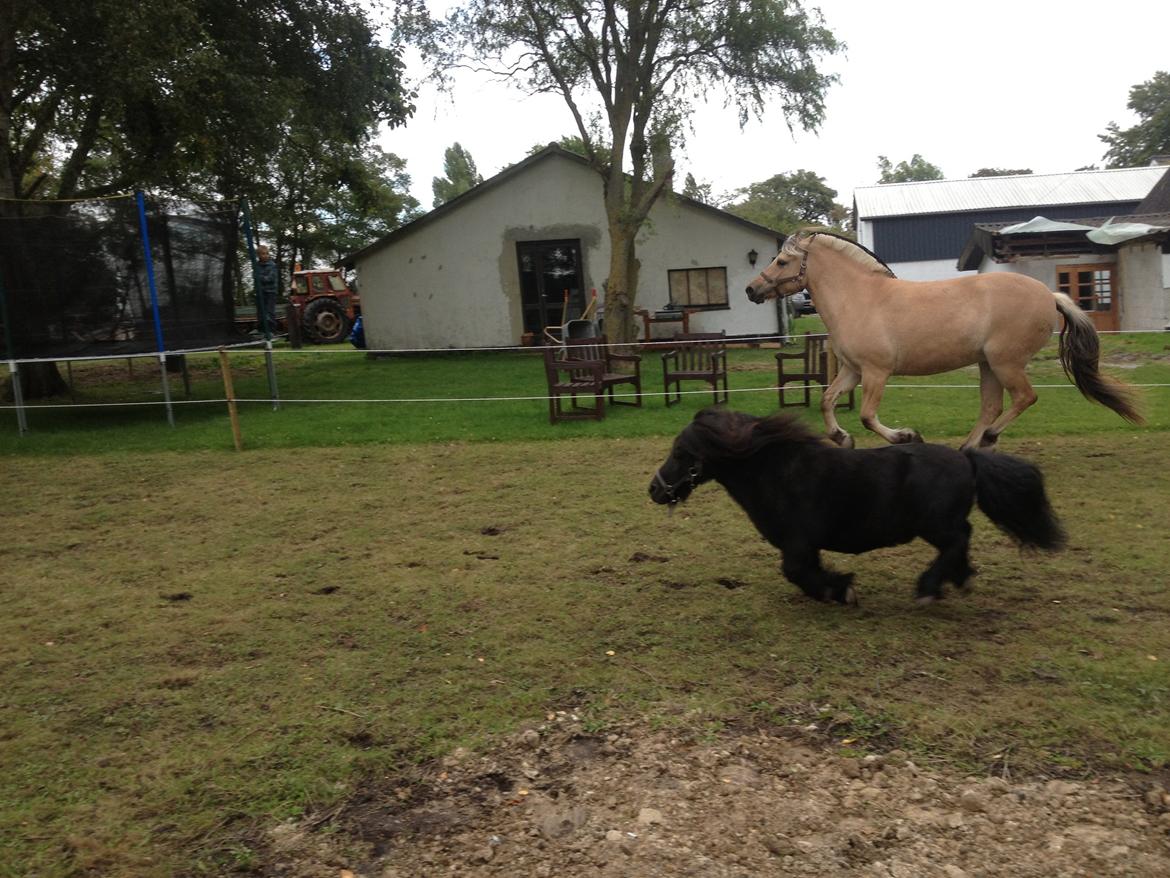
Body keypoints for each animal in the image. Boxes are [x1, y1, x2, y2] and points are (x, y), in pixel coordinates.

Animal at [649, 408, 1066, 605]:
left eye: (680, 453)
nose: (654, 490)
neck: (777, 471)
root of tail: (967, 458)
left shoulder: (798, 543)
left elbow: (796, 572)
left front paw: (840, 590)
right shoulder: (806, 546)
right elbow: (806, 571)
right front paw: (837, 588)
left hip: (936, 524)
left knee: (959, 539)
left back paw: (930, 586)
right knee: (961, 542)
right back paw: (959, 579)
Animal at [745, 230, 1143, 451]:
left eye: (782, 261)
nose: (751, 290)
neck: (860, 298)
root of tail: (1049, 294)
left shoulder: (876, 372)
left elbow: (868, 416)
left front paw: (907, 436)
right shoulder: (852, 371)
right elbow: (827, 401)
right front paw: (843, 439)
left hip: (1006, 362)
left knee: (1023, 398)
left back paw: (987, 439)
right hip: (988, 364)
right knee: (991, 406)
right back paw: (970, 446)